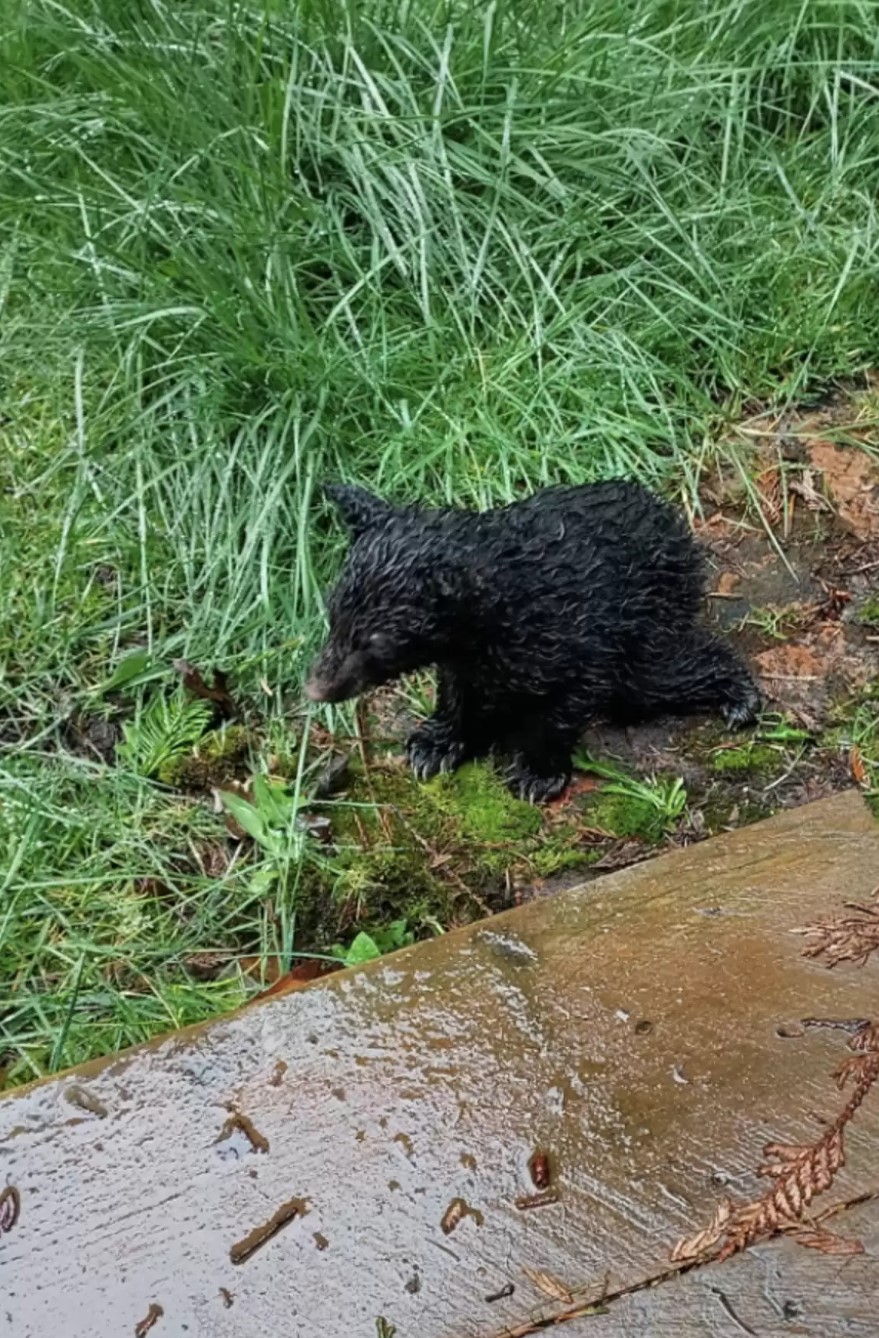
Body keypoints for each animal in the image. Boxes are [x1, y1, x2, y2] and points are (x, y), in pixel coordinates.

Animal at [305, 480, 760, 803]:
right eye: (332, 613)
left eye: (379, 641)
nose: (315, 688)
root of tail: (672, 519)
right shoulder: (466, 658)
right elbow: (458, 695)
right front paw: (436, 746)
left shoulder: (581, 645)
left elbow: (558, 713)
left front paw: (538, 774)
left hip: (647, 618)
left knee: (660, 673)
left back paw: (739, 696)